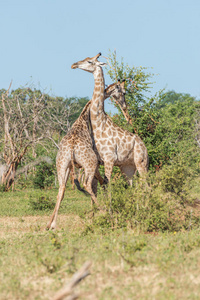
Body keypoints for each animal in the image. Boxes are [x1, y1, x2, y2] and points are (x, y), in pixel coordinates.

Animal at [47, 78, 126, 230]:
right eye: (124, 92)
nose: (124, 106)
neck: (84, 116)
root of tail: (72, 148)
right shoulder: (96, 159)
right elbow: (100, 182)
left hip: (62, 164)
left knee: (61, 188)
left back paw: (51, 224)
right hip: (89, 163)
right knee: (86, 184)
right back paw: (105, 212)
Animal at [70, 52, 148, 186]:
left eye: (90, 61)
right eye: (86, 58)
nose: (74, 65)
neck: (99, 124)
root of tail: (144, 146)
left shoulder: (109, 159)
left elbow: (108, 183)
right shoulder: (99, 160)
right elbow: (101, 183)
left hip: (141, 162)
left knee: (147, 184)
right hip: (127, 166)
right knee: (134, 185)